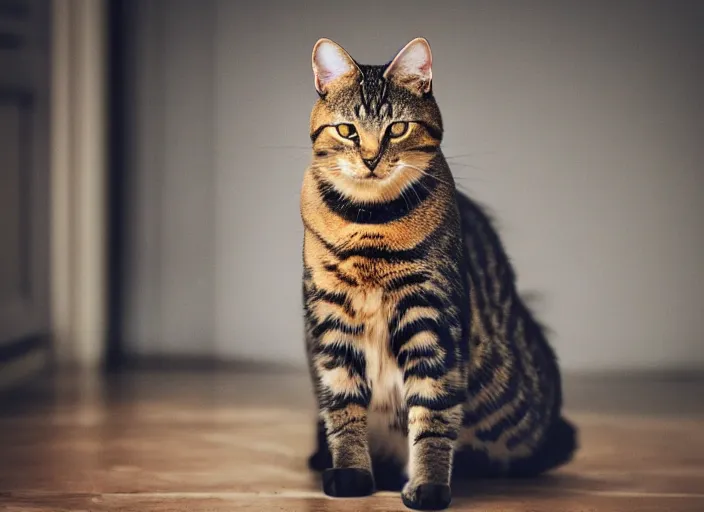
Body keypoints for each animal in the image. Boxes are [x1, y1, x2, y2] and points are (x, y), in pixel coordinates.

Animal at [298, 37, 576, 512]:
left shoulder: (432, 319)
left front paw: (427, 486)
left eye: (397, 129)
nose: (370, 159)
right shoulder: (332, 323)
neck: (370, 224)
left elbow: (432, 413)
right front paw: (352, 474)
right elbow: (343, 407)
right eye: (348, 130)